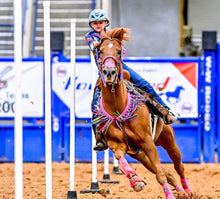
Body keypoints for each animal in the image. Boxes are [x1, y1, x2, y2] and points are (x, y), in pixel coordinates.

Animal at [93, 28, 192, 199]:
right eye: (100, 51)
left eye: (119, 51)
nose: (109, 72)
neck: (118, 107)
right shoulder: (116, 144)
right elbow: (121, 159)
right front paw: (135, 180)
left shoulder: (147, 142)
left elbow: (160, 175)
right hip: (139, 154)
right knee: (168, 172)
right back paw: (181, 192)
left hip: (168, 140)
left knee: (178, 166)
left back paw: (188, 191)